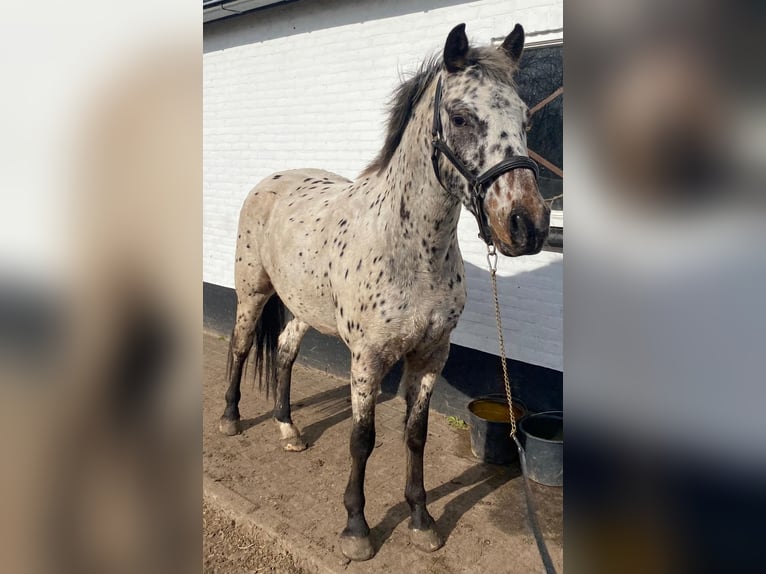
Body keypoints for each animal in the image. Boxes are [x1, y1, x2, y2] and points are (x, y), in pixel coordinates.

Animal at [220, 23, 552, 564]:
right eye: (461, 117)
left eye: (526, 117)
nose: (527, 225)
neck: (409, 249)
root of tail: (271, 180)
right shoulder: (367, 359)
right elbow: (363, 439)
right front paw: (356, 528)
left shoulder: (431, 355)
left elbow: (414, 436)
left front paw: (421, 519)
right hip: (252, 292)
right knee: (241, 345)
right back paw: (230, 419)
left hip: (302, 307)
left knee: (286, 351)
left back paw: (288, 429)